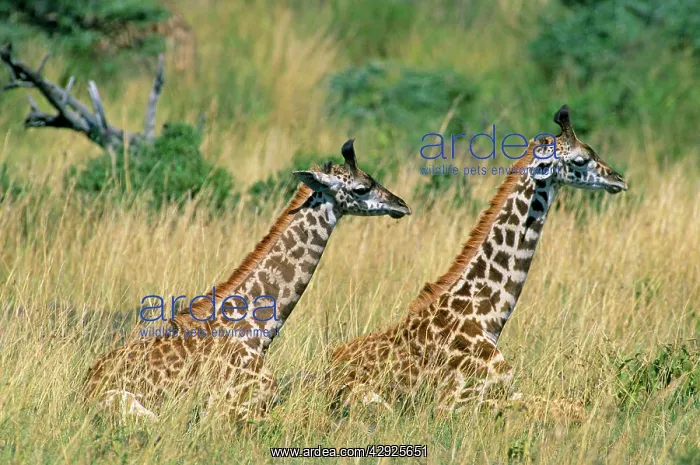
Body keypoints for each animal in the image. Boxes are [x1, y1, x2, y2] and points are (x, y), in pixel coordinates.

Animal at [84, 139, 411, 422]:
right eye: (361, 188)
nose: (402, 205)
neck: (257, 329)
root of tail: (86, 386)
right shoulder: (235, 403)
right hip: (132, 406)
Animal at [328, 105, 628, 417]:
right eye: (580, 159)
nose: (618, 179)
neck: (486, 315)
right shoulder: (454, 403)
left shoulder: (505, 388)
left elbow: (572, 405)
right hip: (375, 402)